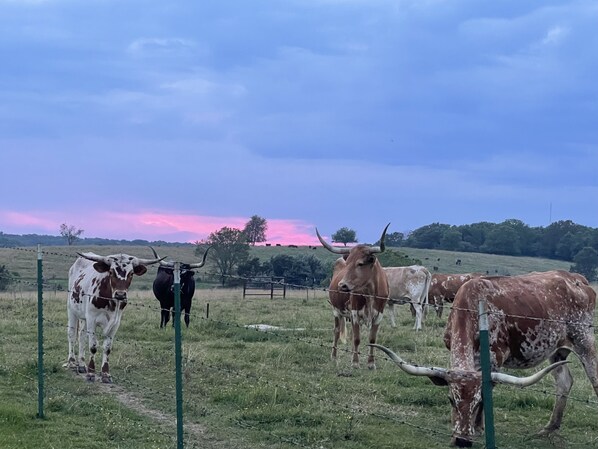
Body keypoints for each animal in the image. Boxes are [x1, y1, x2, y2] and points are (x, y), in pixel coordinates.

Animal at [316, 223, 392, 368]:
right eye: (347, 263)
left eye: (360, 263)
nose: (342, 285)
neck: (369, 292)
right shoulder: (355, 313)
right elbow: (357, 339)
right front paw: (355, 362)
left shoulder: (379, 314)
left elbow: (372, 339)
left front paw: (371, 363)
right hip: (336, 311)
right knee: (336, 331)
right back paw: (334, 356)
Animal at [372, 268, 598, 446]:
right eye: (451, 399)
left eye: (477, 401)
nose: (461, 441)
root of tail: (576, 278)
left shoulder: (495, 358)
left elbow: (487, 389)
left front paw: (479, 427)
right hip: (557, 350)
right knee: (564, 382)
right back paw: (550, 427)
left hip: (584, 340)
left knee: (594, 379)